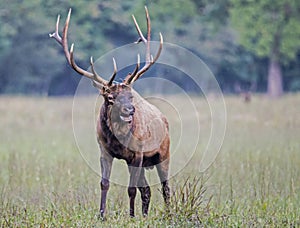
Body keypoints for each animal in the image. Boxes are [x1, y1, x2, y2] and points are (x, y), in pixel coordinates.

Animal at [50, 7, 170, 217]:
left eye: (130, 96)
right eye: (110, 98)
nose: (130, 110)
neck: (118, 138)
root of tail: (164, 119)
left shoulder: (138, 153)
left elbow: (131, 189)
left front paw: (131, 216)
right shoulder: (104, 150)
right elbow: (104, 183)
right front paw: (101, 215)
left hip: (164, 153)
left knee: (165, 188)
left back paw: (169, 212)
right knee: (147, 189)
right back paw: (145, 215)